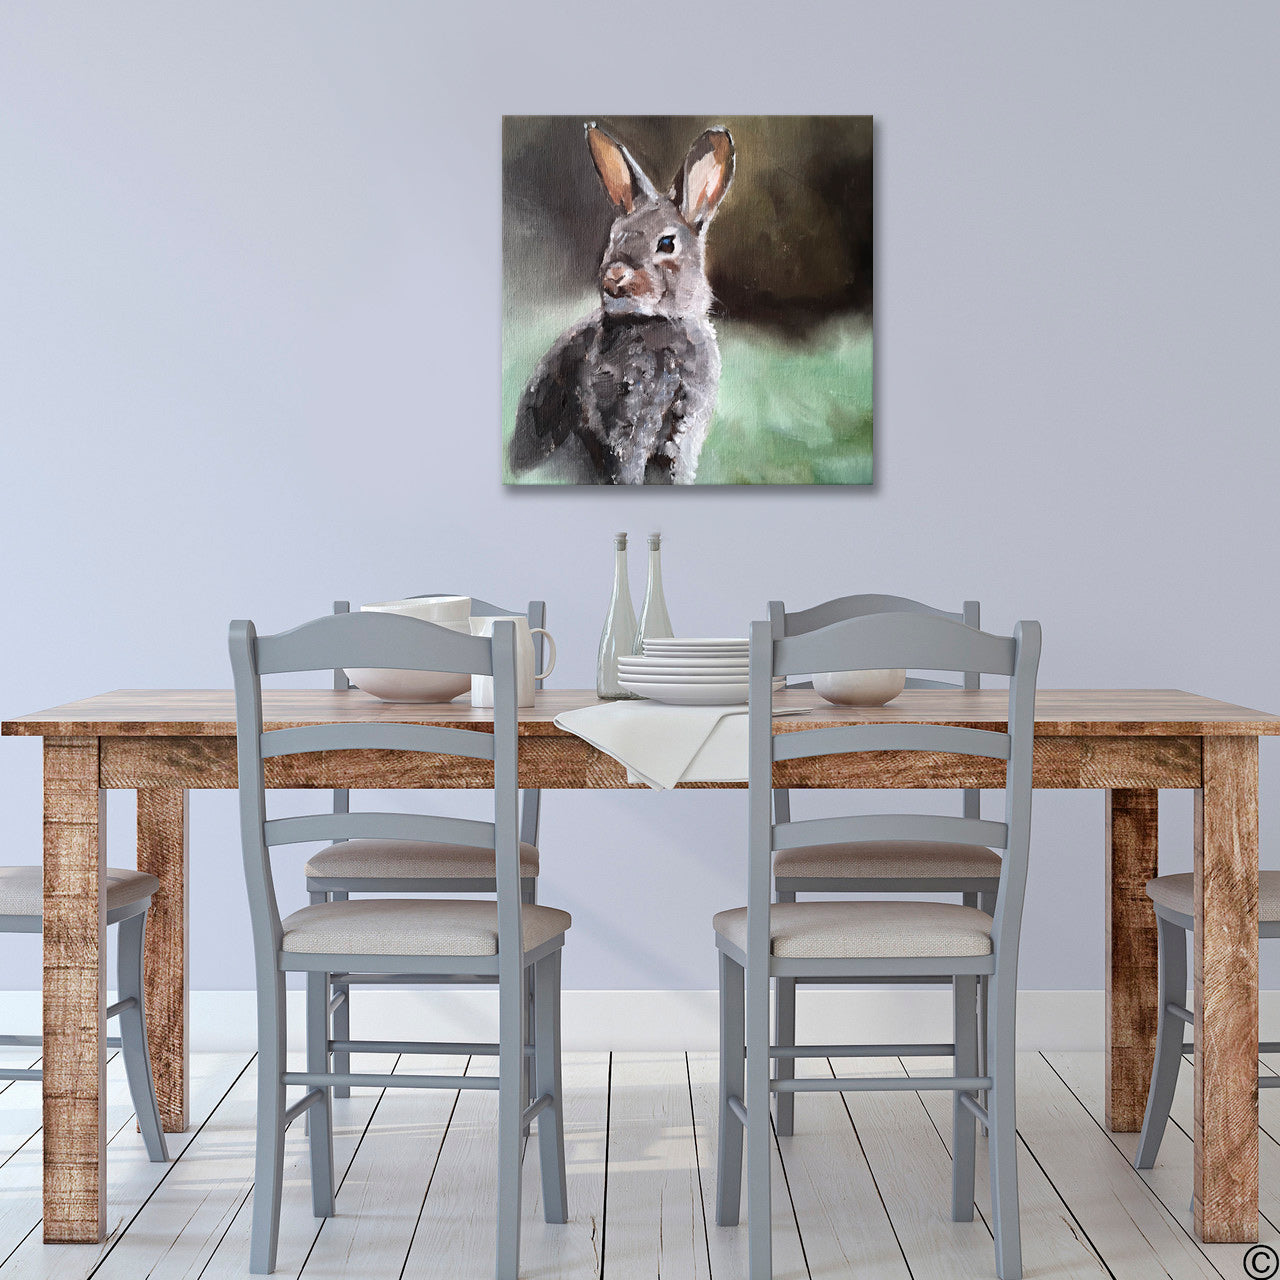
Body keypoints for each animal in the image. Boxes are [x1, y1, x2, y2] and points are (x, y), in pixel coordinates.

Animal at [508, 123, 735, 485]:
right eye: (615, 236)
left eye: (667, 243)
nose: (613, 278)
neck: (657, 321)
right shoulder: (625, 428)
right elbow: (627, 468)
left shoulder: (682, 434)